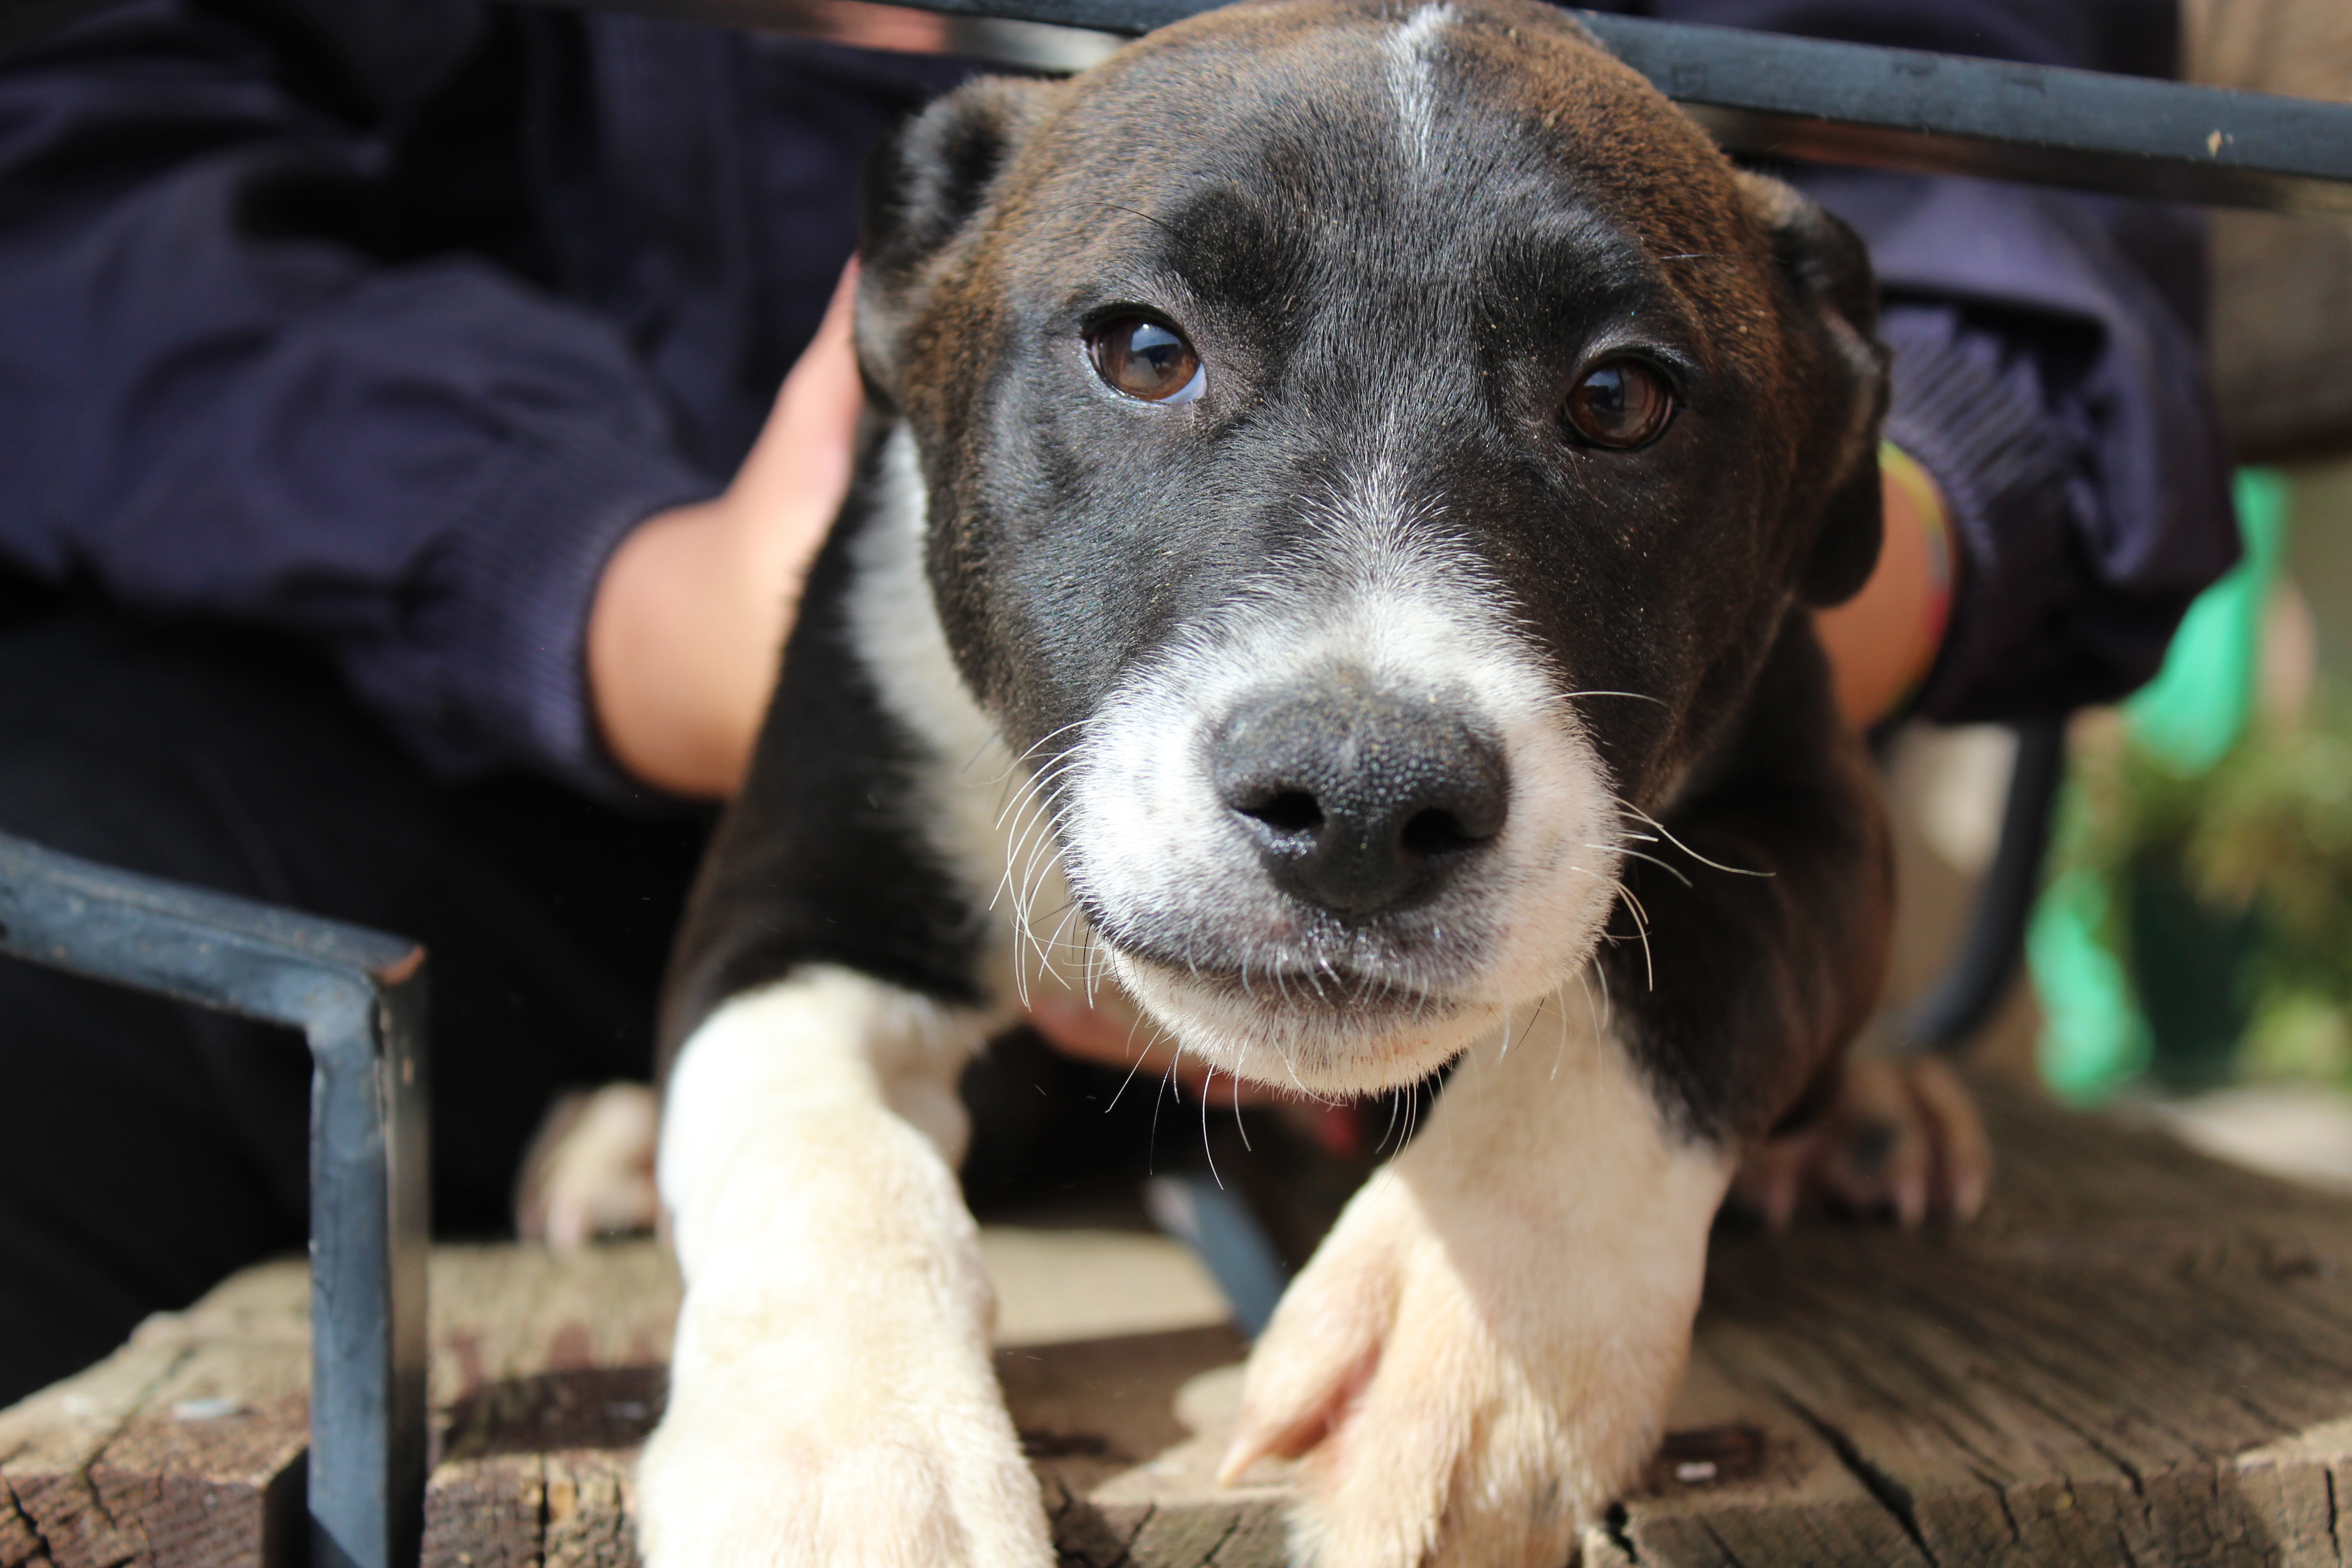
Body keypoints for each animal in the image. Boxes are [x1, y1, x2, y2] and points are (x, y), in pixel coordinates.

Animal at [621, 6, 1947, 1561]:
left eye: (1623, 399)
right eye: (1143, 350)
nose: (1362, 806)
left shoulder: (1821, 826)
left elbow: (1672, 970)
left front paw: (1458, 1350)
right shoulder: (796, 908)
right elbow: (808, 1139)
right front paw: (853, 1461)